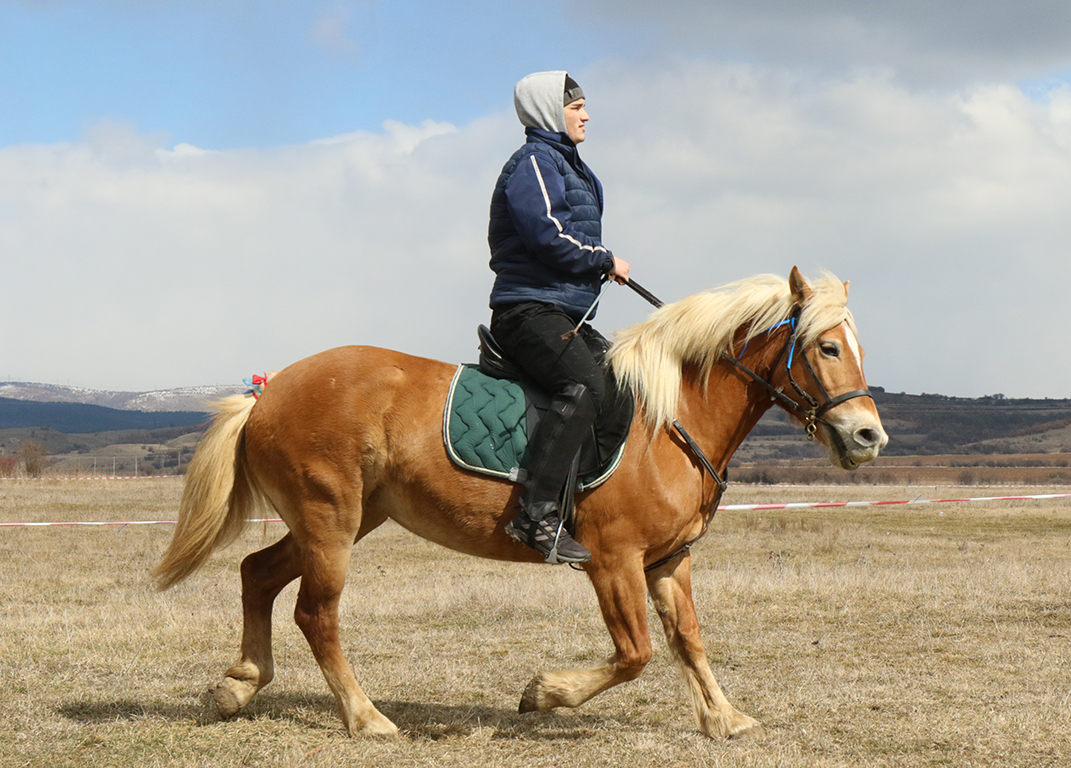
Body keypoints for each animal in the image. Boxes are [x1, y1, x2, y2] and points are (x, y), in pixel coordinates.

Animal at [151, 265, 886, 736]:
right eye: (826, 347)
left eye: (856, 346)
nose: (867, 436)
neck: (667, 418)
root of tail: (267, 391)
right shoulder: (612, 561)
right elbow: (636, 653)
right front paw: (543, 693)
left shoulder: (667, 562)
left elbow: (689, 640)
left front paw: (722, 718)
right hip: (330, 520)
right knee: (316, 614)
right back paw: (366, 719)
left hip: (343, 519)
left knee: (258, 574)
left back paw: (236, 686)